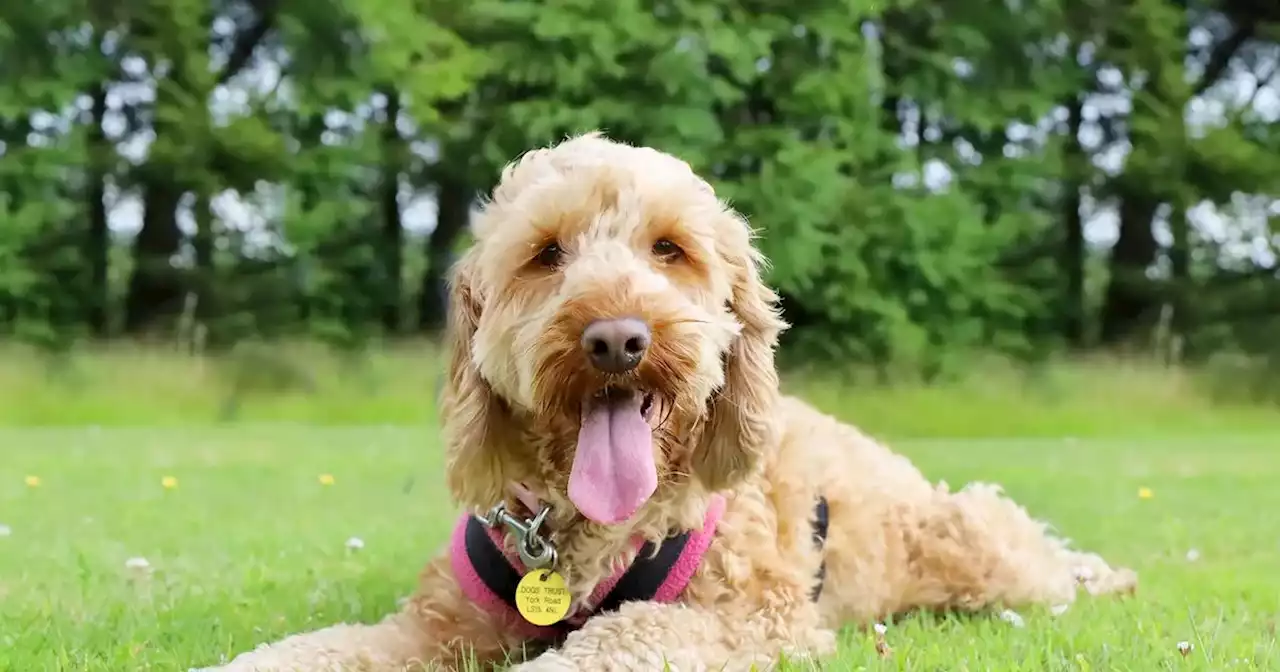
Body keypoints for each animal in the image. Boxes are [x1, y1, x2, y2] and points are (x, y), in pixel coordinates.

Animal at [212, 132, 1141, 670]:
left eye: (670, 249)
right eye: (546, 254)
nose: (617, 339)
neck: (580, 537)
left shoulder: (746, 620)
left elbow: (610, 642)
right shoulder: (432, 625)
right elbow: (312, 651)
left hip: (975, 548)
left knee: (1043, 558)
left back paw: (1107, 575)